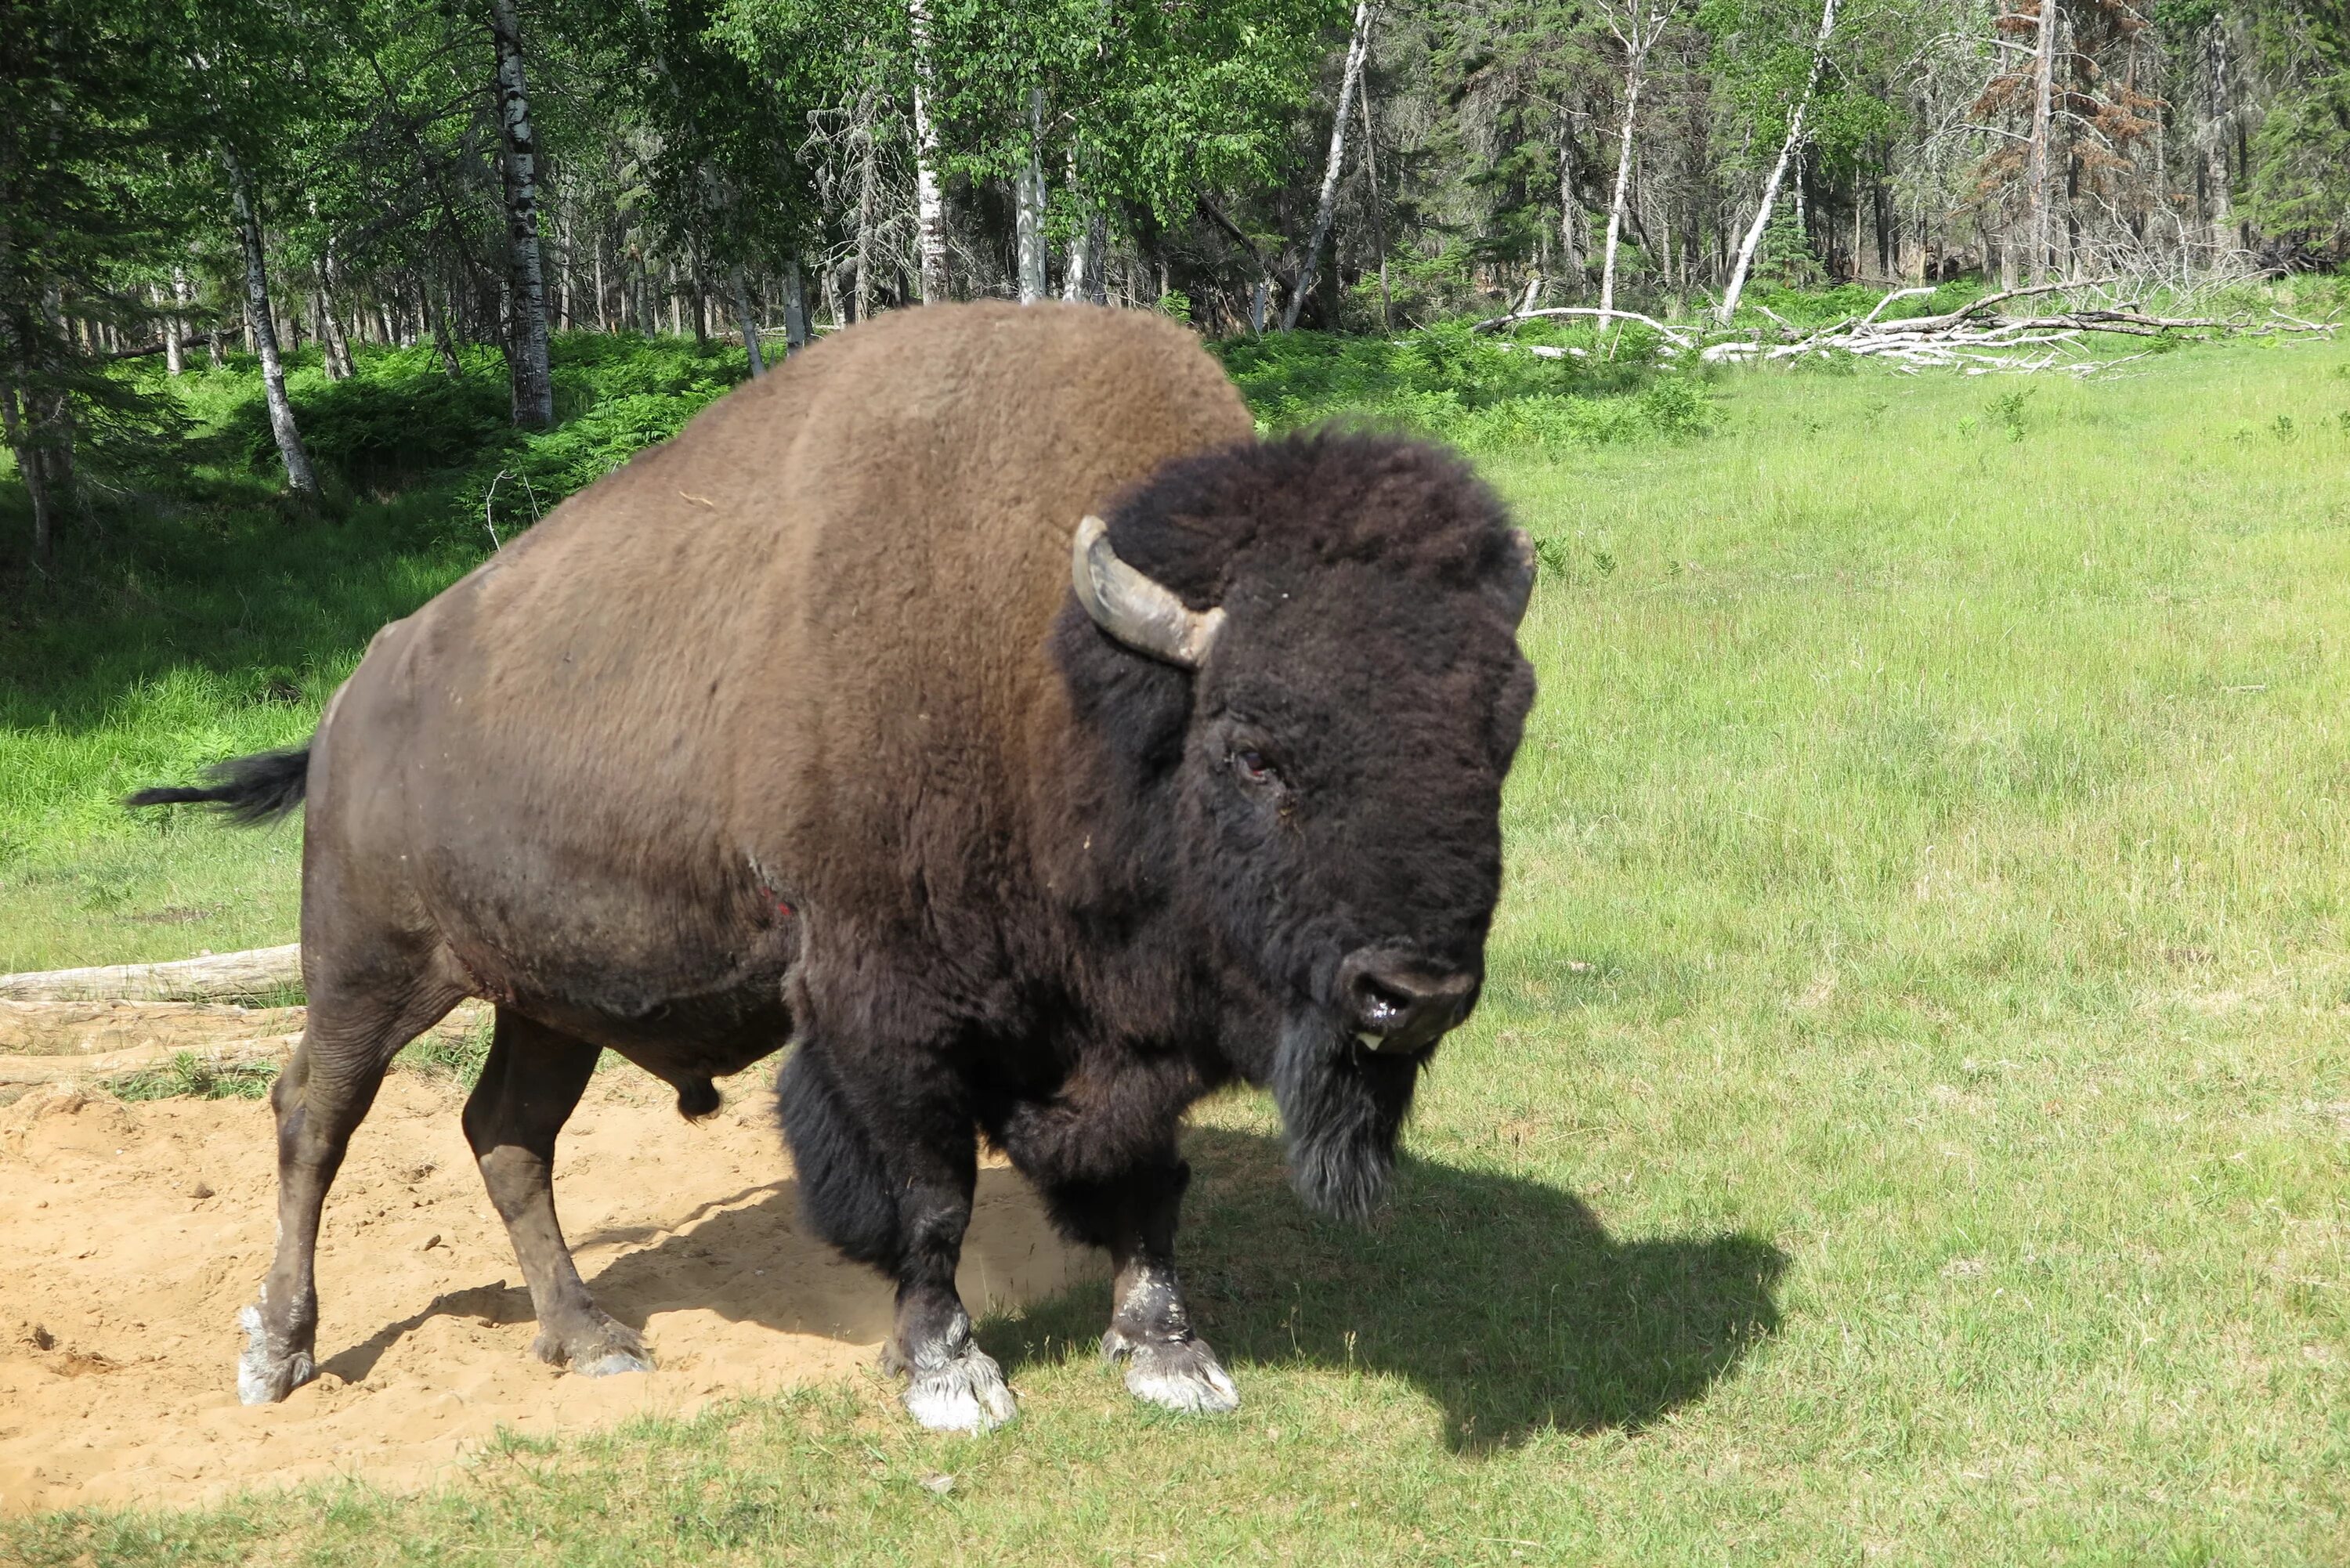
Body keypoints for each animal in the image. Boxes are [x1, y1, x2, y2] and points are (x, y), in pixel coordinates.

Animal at [142, 297, 1542, 1438]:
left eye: (1505, 726)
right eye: (1253, 747)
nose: (1413, 992)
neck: (1066, 680)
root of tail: (346, 707)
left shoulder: (1127, 1030)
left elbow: (1148, 1179)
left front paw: (1171, 1356)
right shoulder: (885, 1008)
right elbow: (927, 1194)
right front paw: (951, 1376)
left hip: (548, 997)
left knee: (507, 1135)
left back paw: (592, 1340)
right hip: (370, 967)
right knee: (314, 1115)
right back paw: (278, 1354)